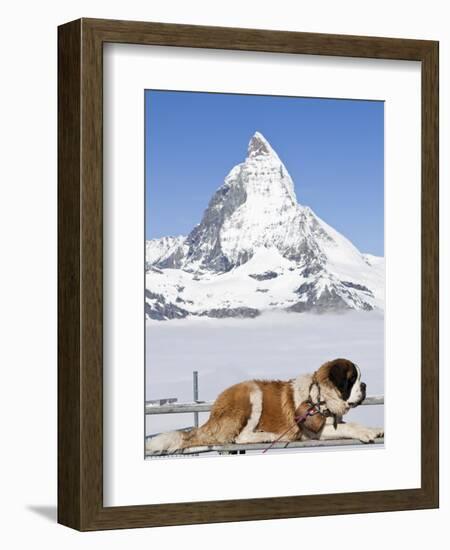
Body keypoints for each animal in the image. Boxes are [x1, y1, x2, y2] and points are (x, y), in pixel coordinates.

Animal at [147, 360, 384, 454]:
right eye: (352, 379)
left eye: (359, 379)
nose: (364, 385)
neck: (320, 396)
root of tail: (214, 411)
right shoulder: (312, 431)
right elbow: (349, 425)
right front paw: (366, 432)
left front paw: (376, 429)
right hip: (252, 393)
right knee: (240, 437)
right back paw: (267, 435)